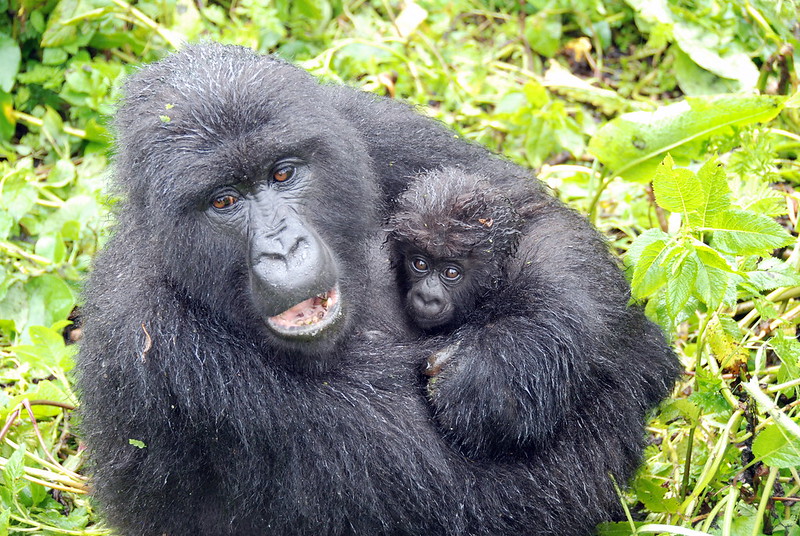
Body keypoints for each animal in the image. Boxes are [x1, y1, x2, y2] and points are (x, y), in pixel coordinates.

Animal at [75, 43, 680, 536]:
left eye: (283, 174)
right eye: (223, 201)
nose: (284, 248)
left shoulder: (358, 122)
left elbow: (529, 215)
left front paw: (509, 362)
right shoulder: (160, 344)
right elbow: (495, 500)